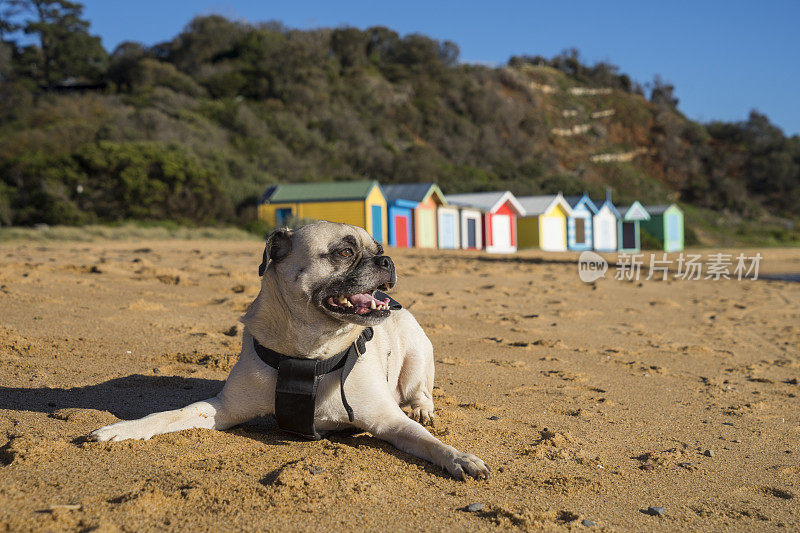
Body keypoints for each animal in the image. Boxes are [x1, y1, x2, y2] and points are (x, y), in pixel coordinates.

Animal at [94, 219, 494, 478]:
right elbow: (172, 414)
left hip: (416, 359)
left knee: (421, 393)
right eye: (345, 252)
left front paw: (459, 458)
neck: (309, 353)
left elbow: (429, 443)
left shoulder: (388, 421)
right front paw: (124, 429)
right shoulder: (222, 409)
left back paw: (423, 409)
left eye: (380, 251)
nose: (387, 260)